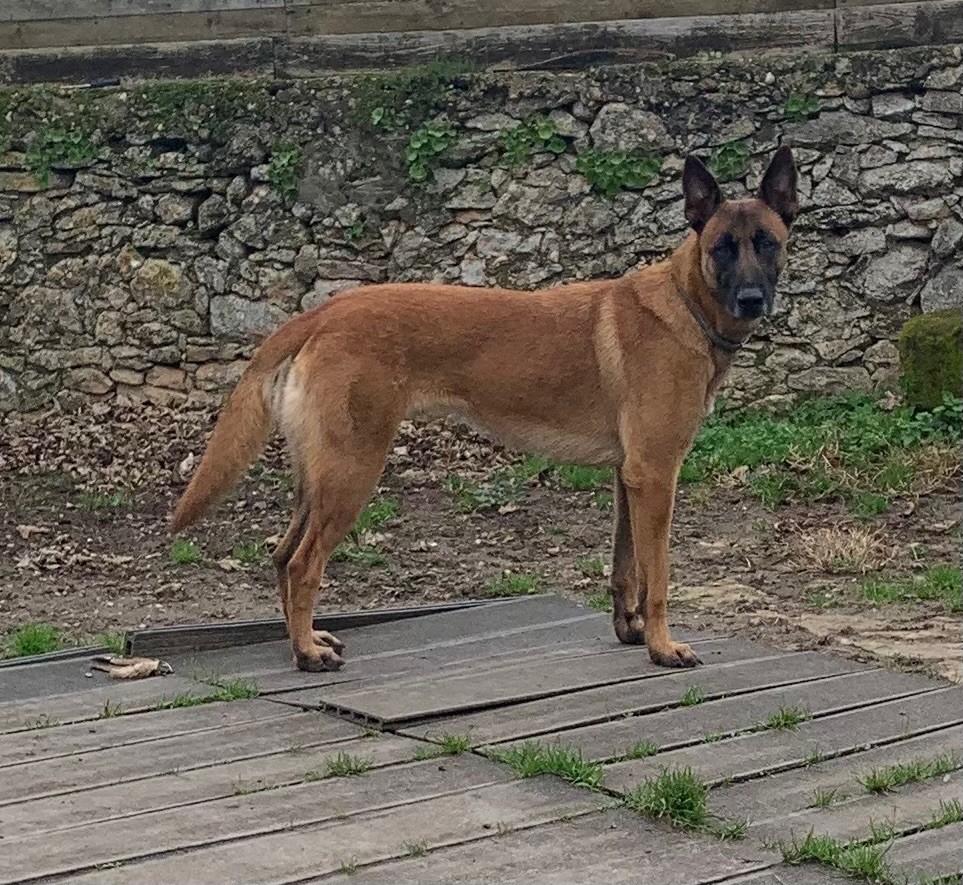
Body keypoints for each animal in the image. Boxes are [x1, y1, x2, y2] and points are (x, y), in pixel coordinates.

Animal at [173, 147, 800, 668]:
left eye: (767, 243)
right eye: (722, 248)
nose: (752, 300)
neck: (685, 303)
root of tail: (323, 313)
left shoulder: (631, 478)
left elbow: (628, 570)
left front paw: (632, 631)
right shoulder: (657, 474)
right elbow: (660, 576)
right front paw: (664, 647)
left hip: (320, 476)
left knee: (282, 556)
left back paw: (303, 639)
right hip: (351, 473)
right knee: (304, 563)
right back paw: (306, 654)